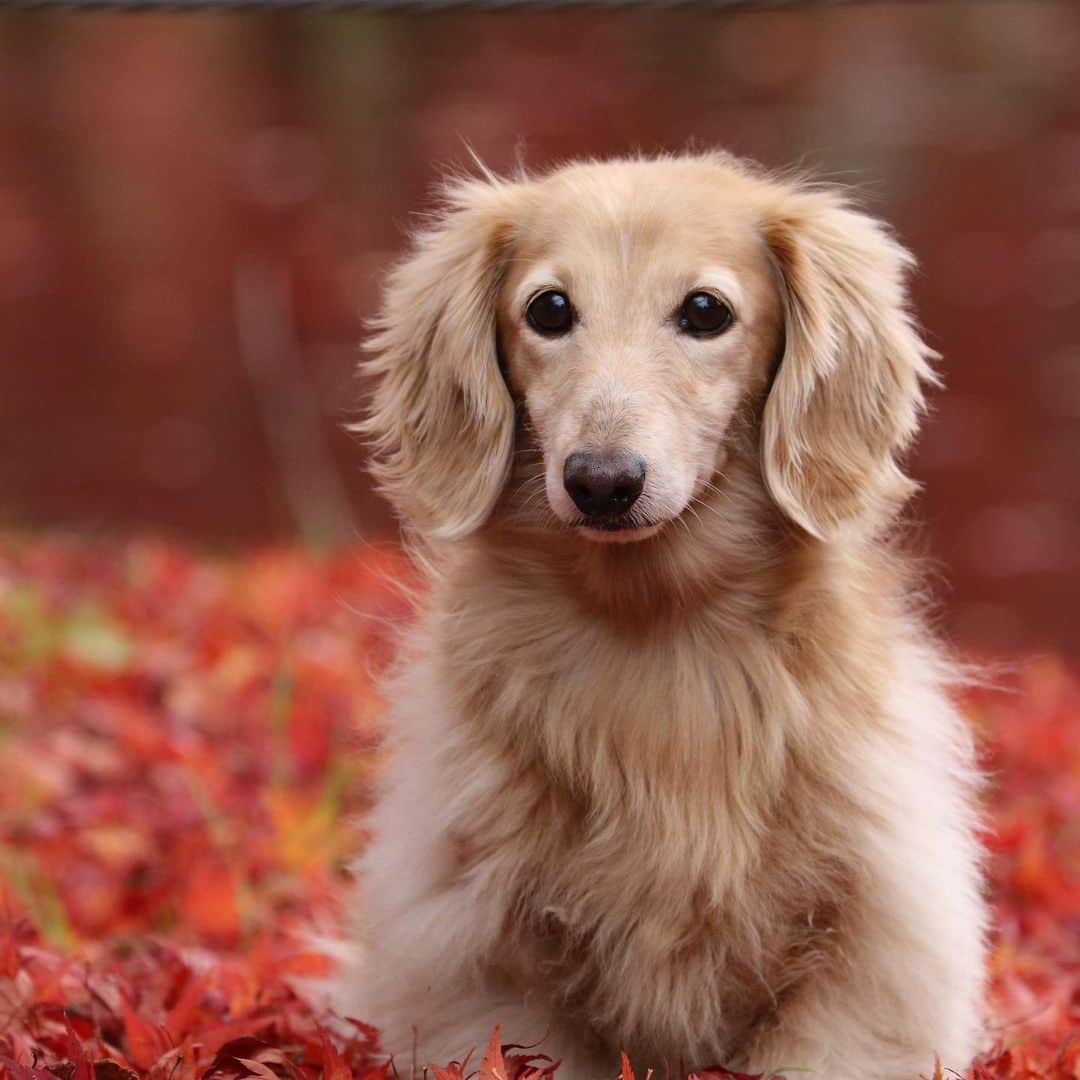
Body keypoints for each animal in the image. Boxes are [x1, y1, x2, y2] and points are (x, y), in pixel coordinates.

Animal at [336, 152, 989, 1080]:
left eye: (705, 311)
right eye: (549, 308)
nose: (602, 482)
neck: (657, 631)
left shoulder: (867, 958)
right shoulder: (475, 958)